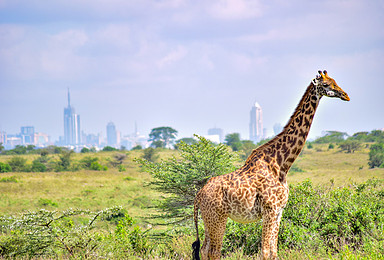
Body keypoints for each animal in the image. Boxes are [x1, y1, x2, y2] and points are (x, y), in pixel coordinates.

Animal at [191, 70, 348, 258]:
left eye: (335, 81)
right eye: (326, 85)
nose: (345, 95)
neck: (282, 165)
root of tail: (199, 195)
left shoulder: (279, 211)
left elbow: (274, 251)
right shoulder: (270, 209)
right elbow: (265, 251)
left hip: (208, 219)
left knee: (204, 249)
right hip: (218, 217)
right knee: (214, 251)